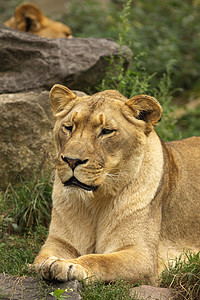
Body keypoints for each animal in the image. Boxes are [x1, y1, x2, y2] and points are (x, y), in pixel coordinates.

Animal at [33, 83, 200, 284]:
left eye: (106, 131)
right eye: (68, 127)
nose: (72, 161)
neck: (95, 201)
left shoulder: (142, 256)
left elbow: (100, 260)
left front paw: (69, 265)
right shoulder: (59, 242)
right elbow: (40, 259)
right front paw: (51, 263)